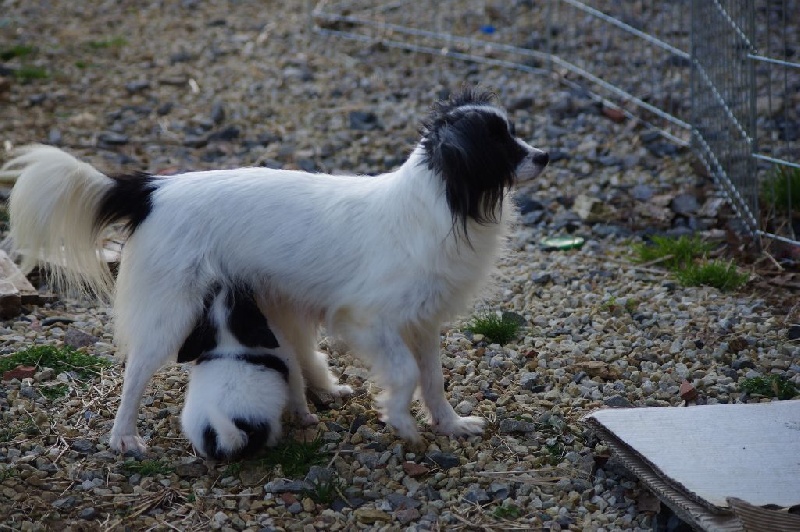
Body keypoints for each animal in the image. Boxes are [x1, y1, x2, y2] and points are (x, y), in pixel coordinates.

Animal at [0, 88, 548, 454]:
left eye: (514, 133)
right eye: (500, 143)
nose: (545, 154)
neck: (437, 202)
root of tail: (153, 189)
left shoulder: (423, 322)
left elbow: (433, 379)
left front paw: (449, 425)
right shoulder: (368, 320)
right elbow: (407, 373)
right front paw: (399, 420)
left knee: (296, 351)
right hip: (172, 315)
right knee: (135, 373)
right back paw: (123, 437)